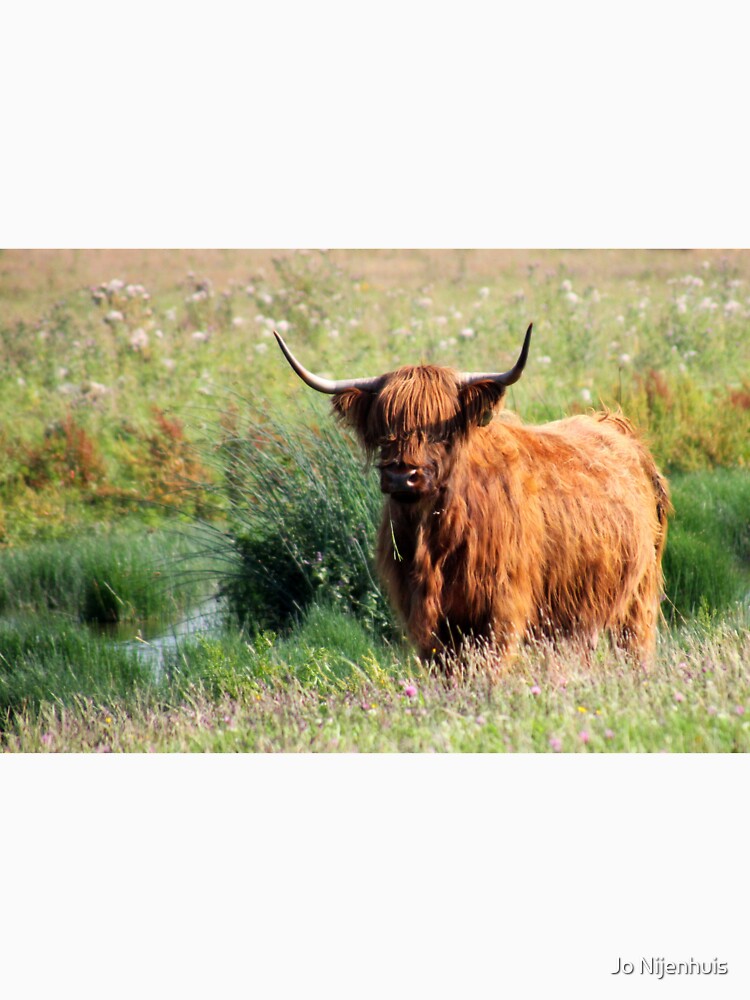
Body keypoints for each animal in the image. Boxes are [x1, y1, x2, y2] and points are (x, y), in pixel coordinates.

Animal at [274, 324, 670, 669]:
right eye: (384, 429)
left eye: (442, 429)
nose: (402, 475)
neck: (434, 540)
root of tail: (613, 423)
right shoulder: (429, 621)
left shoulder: (501, 609)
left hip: (639, 596)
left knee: (635, 646)